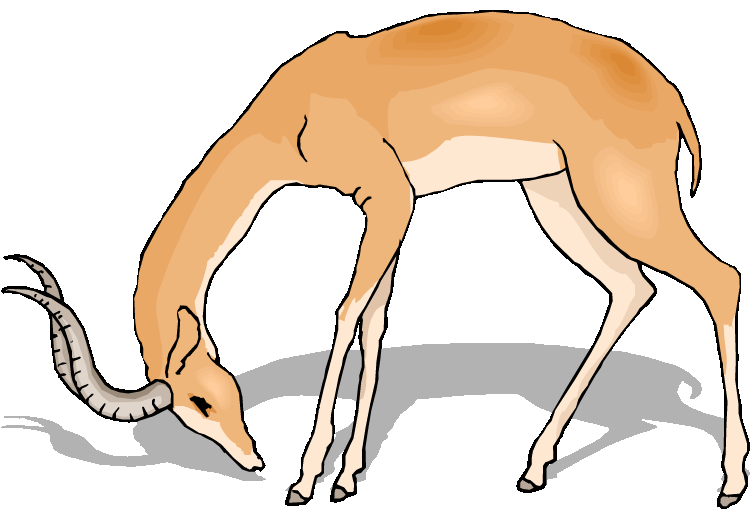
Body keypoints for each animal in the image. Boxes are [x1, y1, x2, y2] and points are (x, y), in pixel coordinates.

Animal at [3, 11, 747, 508]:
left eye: (200, 398)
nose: (253, 459)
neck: (295, 108)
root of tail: (669, 94)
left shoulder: (389, 198)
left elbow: (344, 312)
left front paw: (306, 479)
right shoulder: (386, 212)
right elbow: (376, 320)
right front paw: (348, 476)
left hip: (620, 196)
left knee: (720, 279)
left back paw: (729, 483)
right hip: (556, 196)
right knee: (632, 289)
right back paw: (532, 467)